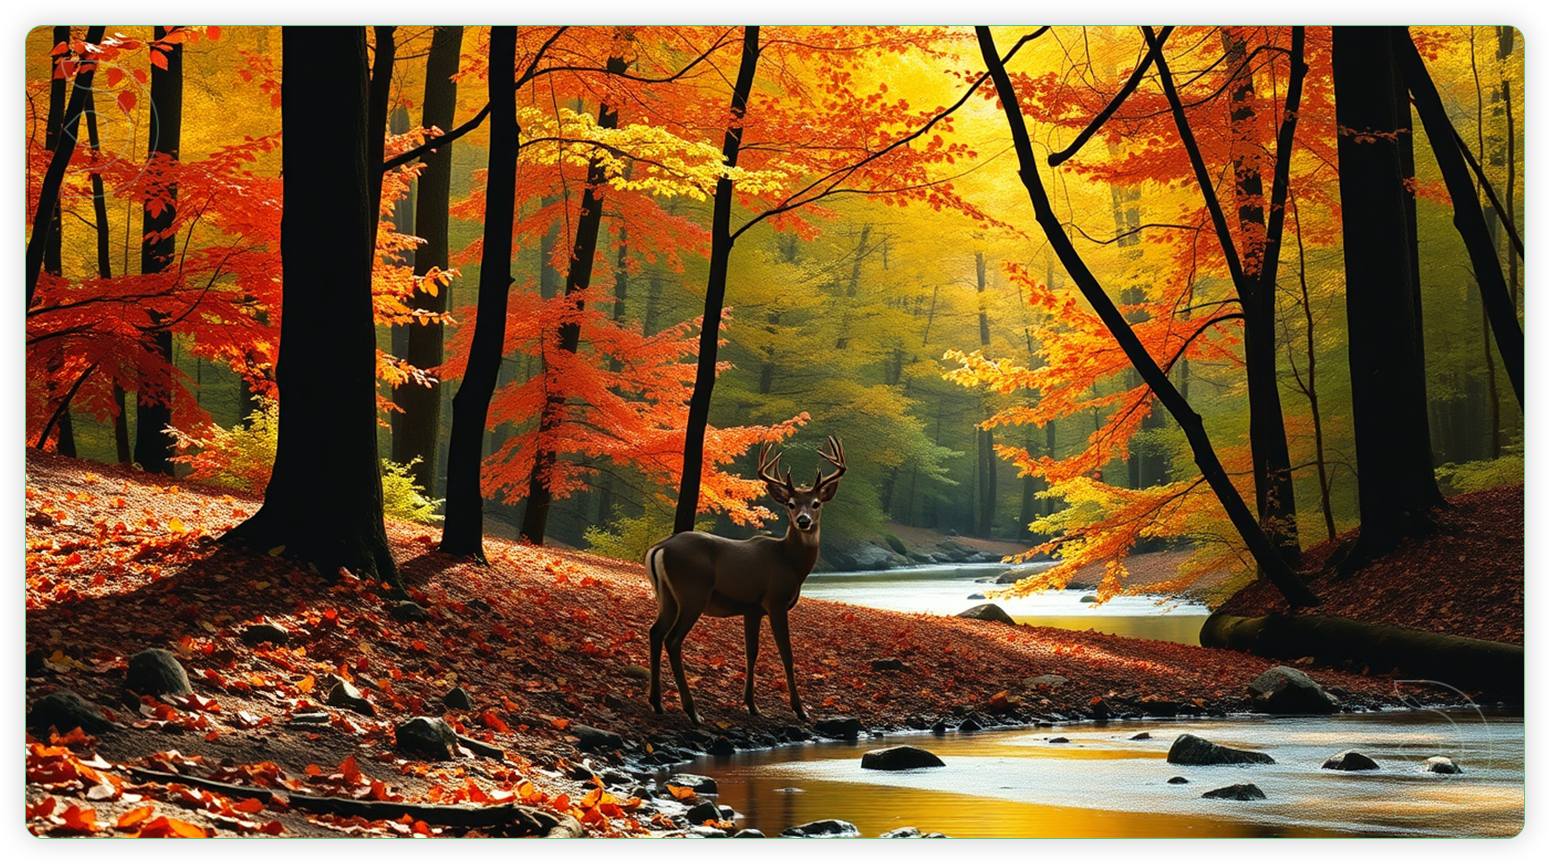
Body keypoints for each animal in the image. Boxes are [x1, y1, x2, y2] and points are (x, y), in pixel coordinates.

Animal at [645, 435, 846, 725]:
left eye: (816, 502)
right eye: (791, 504)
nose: (803, 520)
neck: (790, 562)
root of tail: (659, 548)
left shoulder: (752, 609)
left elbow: (752, 652)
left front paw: (751, 705)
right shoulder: (775, 601)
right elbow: (787, 654)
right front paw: (800, 709)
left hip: (666, 597)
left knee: (655, 632)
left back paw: (657, 703)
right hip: (692, 594)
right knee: (672, 640)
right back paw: (692, 711)